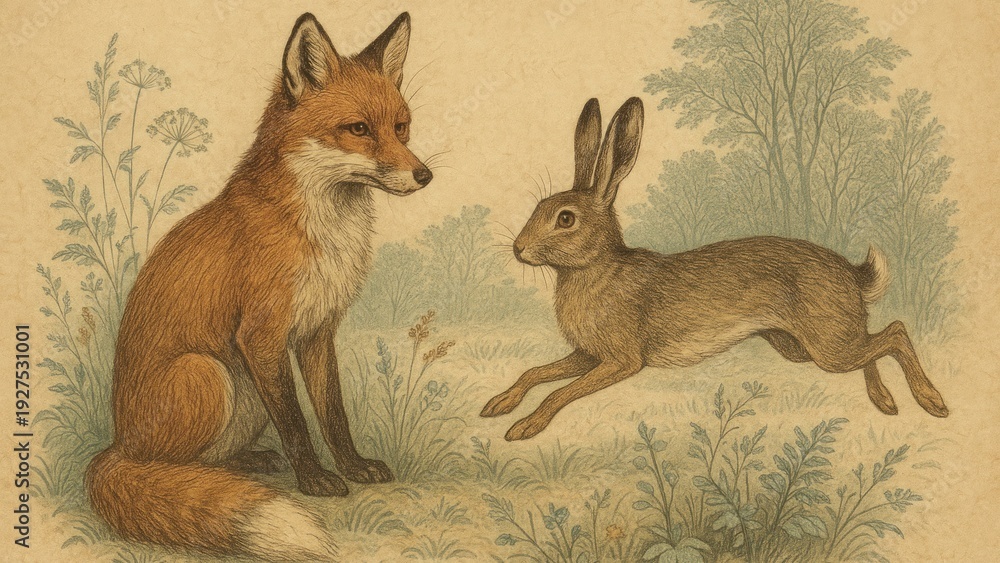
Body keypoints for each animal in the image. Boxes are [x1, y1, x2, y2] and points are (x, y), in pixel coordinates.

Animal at [85, 12, 431, 560]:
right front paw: (314, 479)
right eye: (358, 129)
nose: (425, 174)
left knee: (209, 462)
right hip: (209, 373)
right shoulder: (261, 335)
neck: (322, 232)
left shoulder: (316, 332)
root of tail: (117, 445)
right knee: (164, 470)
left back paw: (248, 463)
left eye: (401, 127)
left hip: (243, 393)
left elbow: (332, 413)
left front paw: (354, 467)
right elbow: (295, 421)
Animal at [481, 97, 949, 441]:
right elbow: (535, 372)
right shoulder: (587, 354)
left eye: (565, 219)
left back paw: (932, 401)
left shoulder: (620, 360)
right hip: (803, 346)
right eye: (540, 207)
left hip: (826, 344)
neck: (598, 268)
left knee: (895, 333)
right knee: (873, 343)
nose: (519, 248)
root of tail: (852, 274)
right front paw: (497, 405)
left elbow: (560, 392)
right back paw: (884, 400)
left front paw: (523, 427)